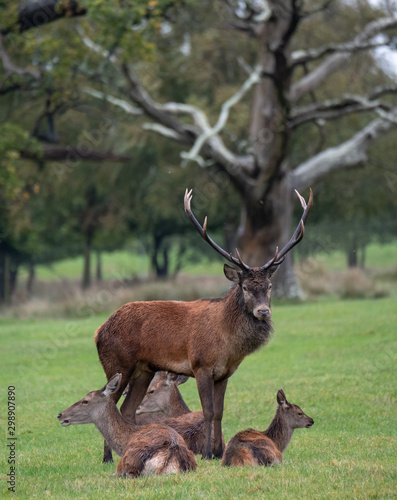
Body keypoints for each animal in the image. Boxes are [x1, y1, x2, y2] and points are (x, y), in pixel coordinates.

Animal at [94, 188, 310, 460]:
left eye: (269, 286)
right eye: (245, 287)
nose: (263, 311)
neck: (227, 343)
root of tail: (98, 331)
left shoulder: (225, 372)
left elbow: (219, 412)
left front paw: (219, 451)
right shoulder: (201, 366)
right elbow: (207, 411)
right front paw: (207, 452)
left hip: (144, 370)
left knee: (127, 409)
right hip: (117, 363)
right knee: (109, 402)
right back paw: (107, 457)